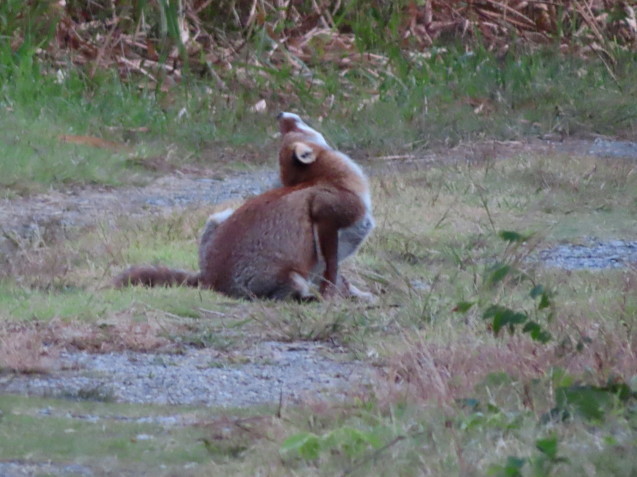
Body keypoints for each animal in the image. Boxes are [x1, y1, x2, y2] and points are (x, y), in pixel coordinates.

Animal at [114, 113, 372, 300]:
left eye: (291, 129)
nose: (279, 114)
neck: (327, 180)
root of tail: (209, 280)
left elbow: (340, 279)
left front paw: (357, 296)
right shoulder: (326, 218)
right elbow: (331, 273)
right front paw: (333, 297)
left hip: (218, 217)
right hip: (292, 278)